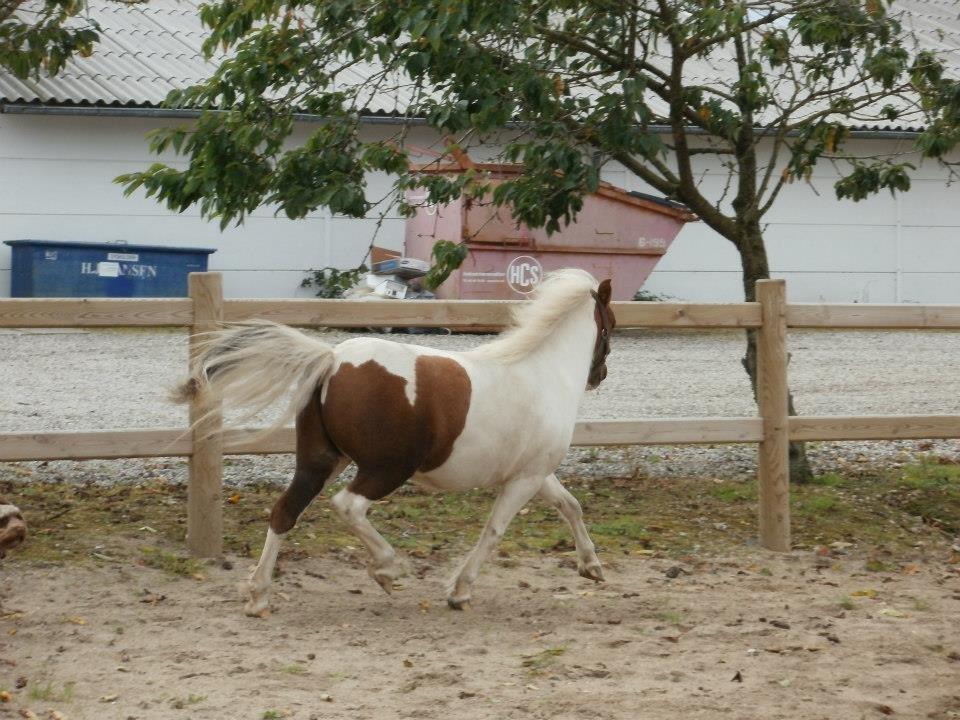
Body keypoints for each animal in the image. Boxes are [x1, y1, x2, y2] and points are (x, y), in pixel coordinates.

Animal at [174, 268, 616, 616]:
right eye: (610, 323)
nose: (600, 376)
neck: (543, 373)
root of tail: (331, 360)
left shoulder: (536, 472)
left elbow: (570, 505)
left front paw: (591, 567)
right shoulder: (524, 479)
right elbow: (494, 531)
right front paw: (459, 592)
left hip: (321, 460)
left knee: (285, 512)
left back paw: (258, 596)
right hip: (388, 468)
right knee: (348, 505)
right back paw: (388, 570)